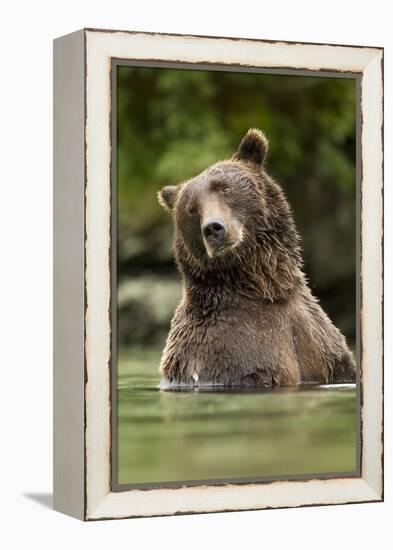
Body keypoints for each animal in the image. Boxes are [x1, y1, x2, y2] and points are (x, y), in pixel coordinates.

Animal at [156, 129, 356, 388]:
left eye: (225, 188)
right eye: (191, 208)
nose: (213, 228)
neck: (266, 288)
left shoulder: (320, 339)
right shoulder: (228, 349)